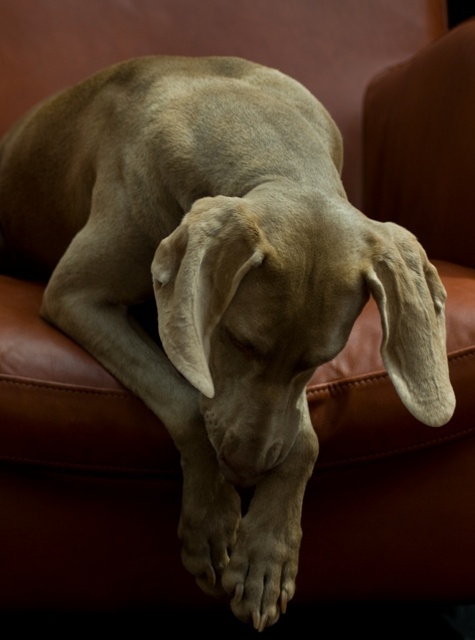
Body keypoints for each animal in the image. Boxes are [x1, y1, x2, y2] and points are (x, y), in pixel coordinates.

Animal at [0, 56, 455, 630]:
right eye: (238, 341)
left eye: (321, 361)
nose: (246, 471)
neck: (261, 141)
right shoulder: (77, 296)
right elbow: (186, 402)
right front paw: (213, 522)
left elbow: (303, 437)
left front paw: (267, 558)